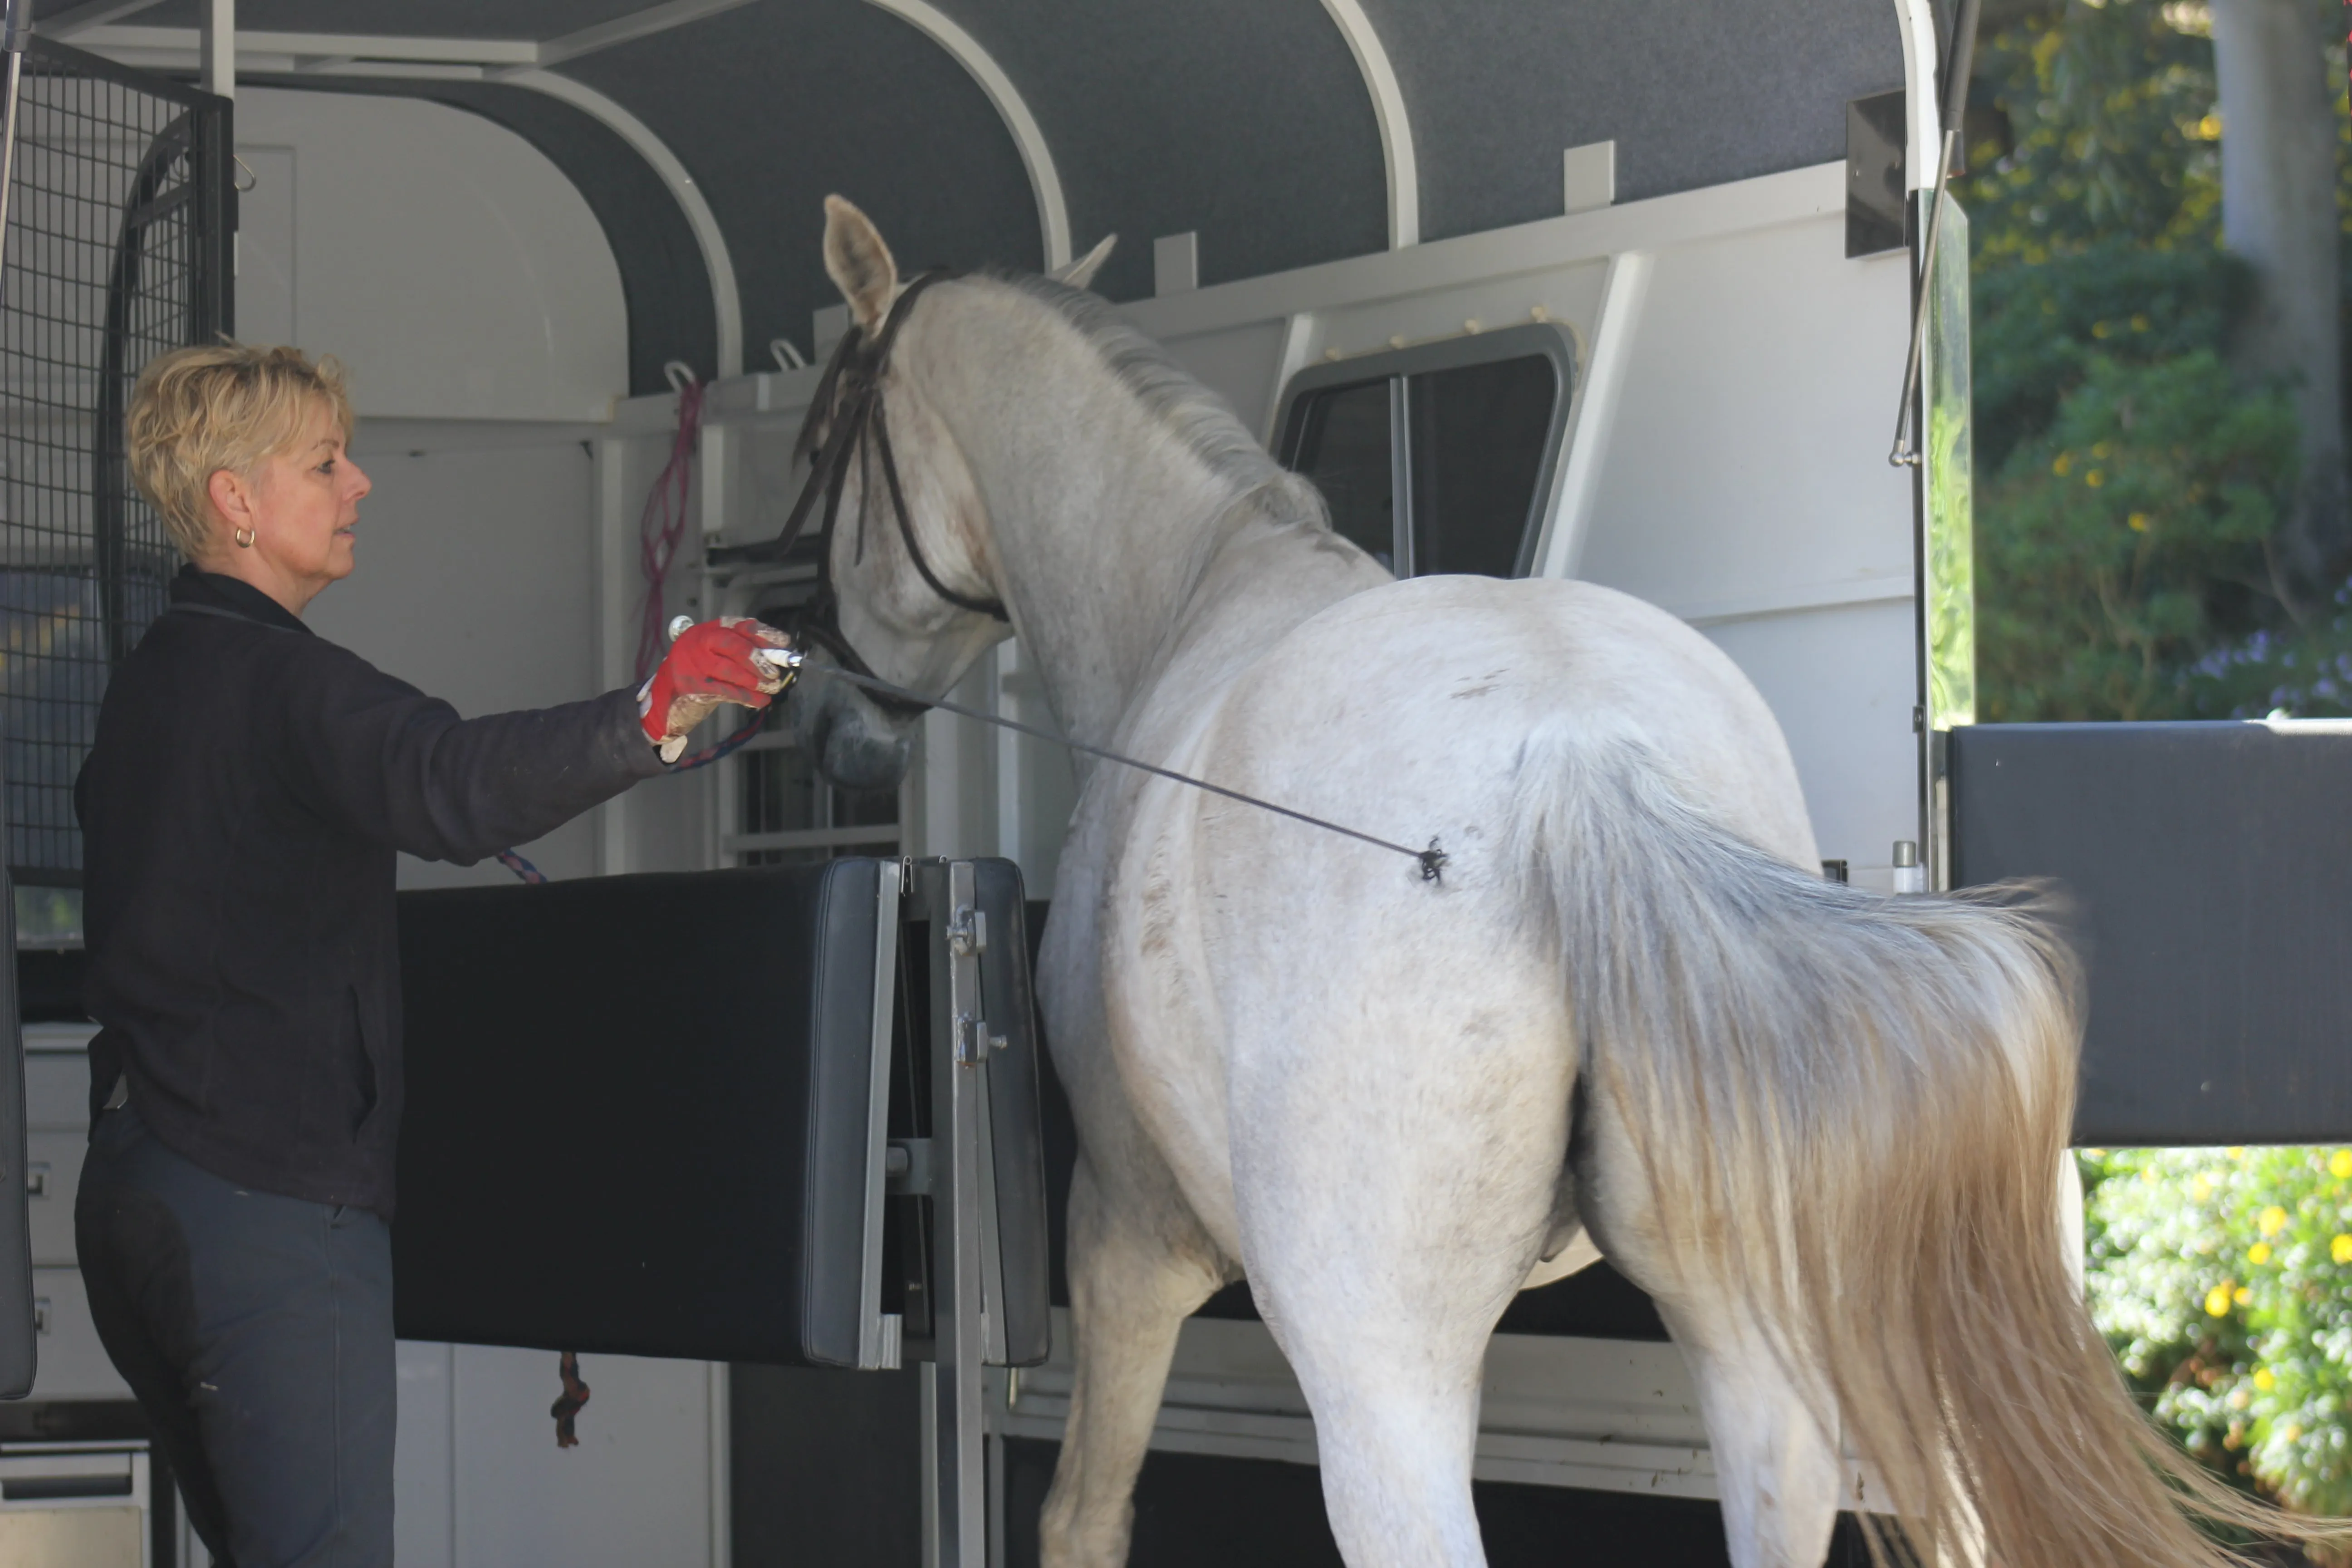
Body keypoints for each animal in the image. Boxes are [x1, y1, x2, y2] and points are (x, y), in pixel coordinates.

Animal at [781, 196, 2305, 1568]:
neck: (1200, 597)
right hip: (1754, 1370)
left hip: (1377, 1382)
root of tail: (1579, 759)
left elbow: (1081, 1520)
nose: (832, 731)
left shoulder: (1127, 1248)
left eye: (818, 443)